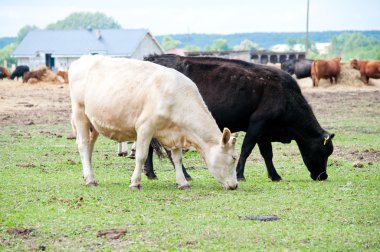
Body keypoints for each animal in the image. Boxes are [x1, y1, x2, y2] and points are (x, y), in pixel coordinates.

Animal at [68, 55, 238, 189]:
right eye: (234, 157)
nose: (235, 185)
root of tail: (82, 59)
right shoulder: (145, 128)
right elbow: (141, 156)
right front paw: (135, 183)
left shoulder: (175, 132)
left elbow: (177, 158)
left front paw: (182, 182)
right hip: (80, 113)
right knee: (83, 145)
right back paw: (90, 179)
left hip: (94, 122)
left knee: (90, 146)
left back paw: (87, 175)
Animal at [144, 54, 334, 181]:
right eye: (324, 151)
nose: (323, 176)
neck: (286, 96)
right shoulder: (257, 123)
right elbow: (246, 149)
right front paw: (240, 174)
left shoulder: (264, 131)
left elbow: (267, 154)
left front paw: (274, 176)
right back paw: (183, 174)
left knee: (149, 147)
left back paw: (151, 173)